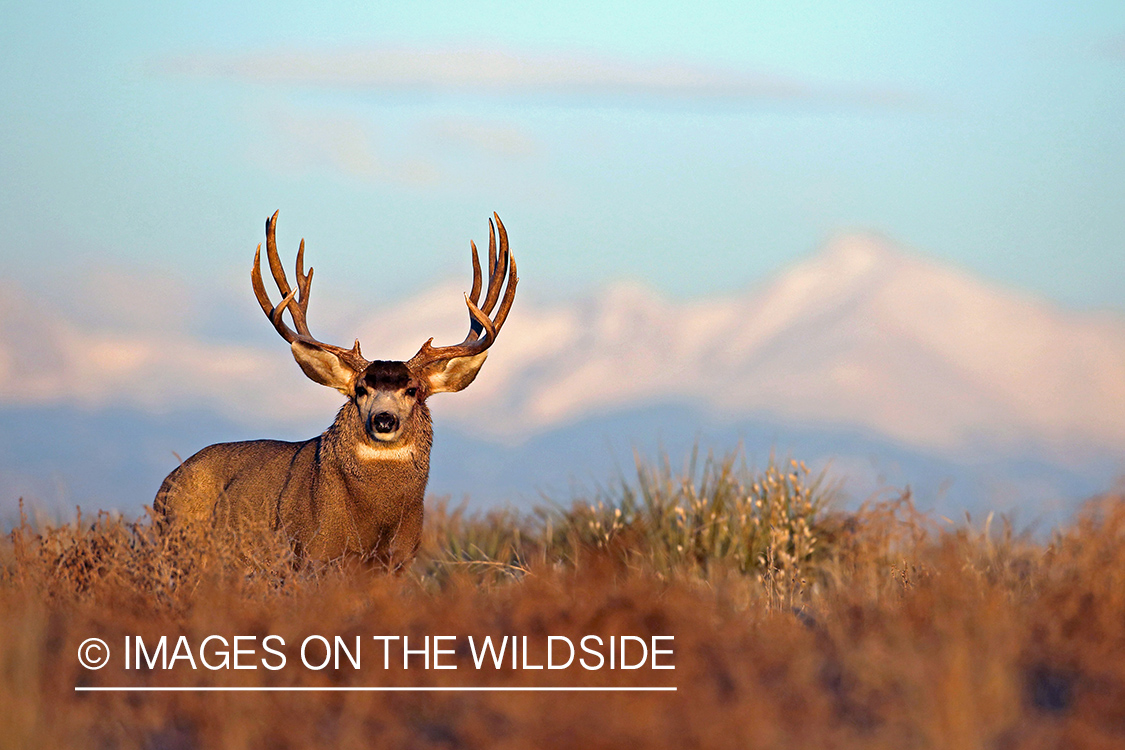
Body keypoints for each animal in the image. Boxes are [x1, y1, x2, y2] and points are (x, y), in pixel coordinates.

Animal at [153, 211, 517, 571]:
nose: (384, 419)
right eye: (360, 389)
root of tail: (166, 483)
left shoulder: (400, 561)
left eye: (413, 390)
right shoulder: (312, 552)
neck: (374, 527)